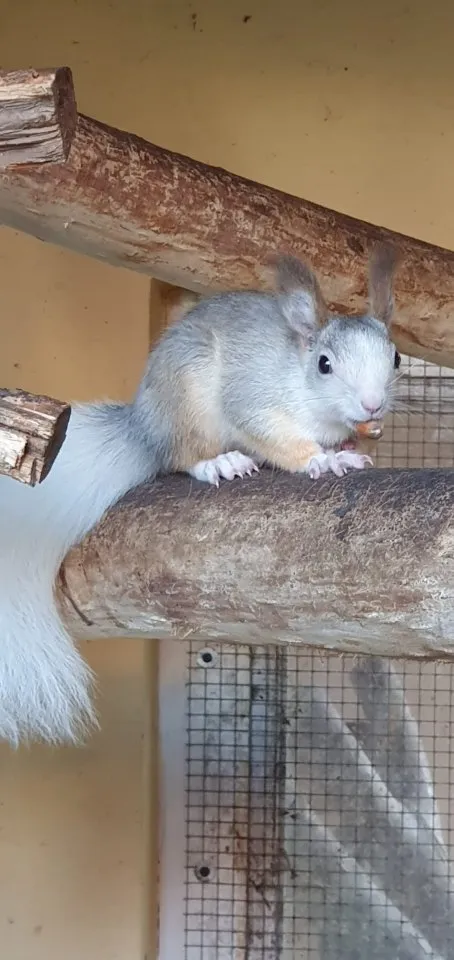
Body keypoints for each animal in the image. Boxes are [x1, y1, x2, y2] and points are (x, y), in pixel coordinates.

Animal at [0, 243, 400, 747]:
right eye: (324, 364)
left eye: (396, 358)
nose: (373, 405)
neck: (301, 376)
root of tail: (144, 426)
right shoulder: (253, 401)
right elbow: (278, 439)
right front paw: (323, 461)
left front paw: (352, 448)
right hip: (188, 400)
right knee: (183, 456)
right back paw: (220, 463)